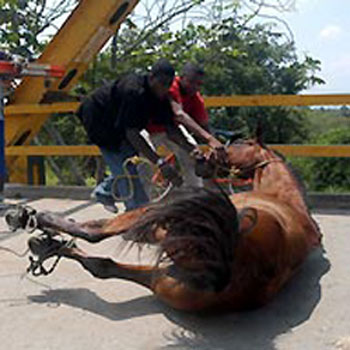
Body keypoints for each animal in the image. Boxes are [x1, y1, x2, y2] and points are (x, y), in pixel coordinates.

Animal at [5, 136, 322, 312]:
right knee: (102, 266)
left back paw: (31, 223)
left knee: (97, 234)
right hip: (162, 277)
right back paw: (47, 247)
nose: (204, 155)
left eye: (240, 143)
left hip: (162, 223)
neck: (284, 198)